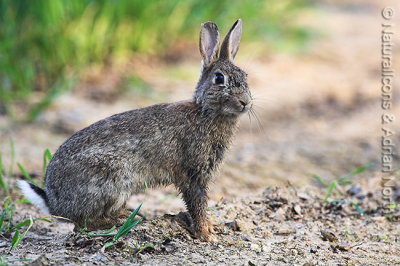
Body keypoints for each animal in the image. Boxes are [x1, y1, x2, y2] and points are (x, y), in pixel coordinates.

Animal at [18, 18, 252, 242]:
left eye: (245, 76)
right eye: (219, 79)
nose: (245, 102)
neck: (205, 112)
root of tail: (54, 203)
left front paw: (210, 228)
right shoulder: (193, 173)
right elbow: (197, 203)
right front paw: (206, 235)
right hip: (112, 181)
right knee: (83, 223)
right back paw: (120, 220)